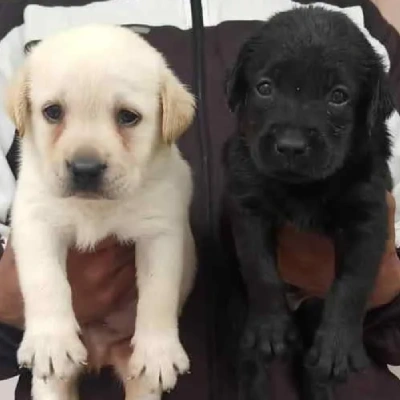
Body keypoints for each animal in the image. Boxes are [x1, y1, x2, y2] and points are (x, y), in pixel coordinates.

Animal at [6, 24, 197, 400]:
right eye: (52, 112)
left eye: (128, 117)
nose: (85, 168)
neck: (94, 208)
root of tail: (99, 354)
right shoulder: (34, 219)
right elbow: (45, 279)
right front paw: (51, 341)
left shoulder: (161, 230)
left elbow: (158, 291)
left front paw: (158, 352)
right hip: (52, 384)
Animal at [223, 6, 396, 400]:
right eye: (265, 88)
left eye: (338, 96)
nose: (290, 145)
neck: (303, 189)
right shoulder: (247, 204)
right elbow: (260, 268)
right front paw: (271, 327)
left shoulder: (369, 215)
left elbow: (352, 282)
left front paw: (337, 347)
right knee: (249, 356)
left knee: (310, 361)